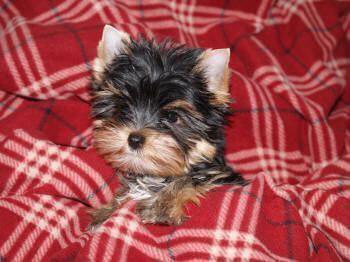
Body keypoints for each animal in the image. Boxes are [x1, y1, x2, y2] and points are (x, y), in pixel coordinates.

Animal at [89, 24, 245, 225]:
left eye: (172, 117)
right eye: (124, 107)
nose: (135, 139)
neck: (153, 176)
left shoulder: (220, 175)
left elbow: (188, 180)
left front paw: (162, 206)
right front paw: (105, 213)